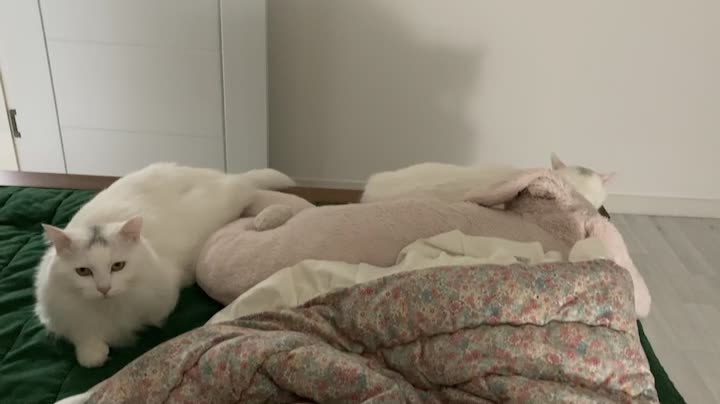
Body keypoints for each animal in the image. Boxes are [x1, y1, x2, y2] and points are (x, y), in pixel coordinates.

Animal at [35, 163, 294, 368]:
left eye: (118, 266)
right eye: (83, 271)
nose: (104, 289)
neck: (109, 307)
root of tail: (216, 174)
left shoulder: (160, 300)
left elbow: (147, 318)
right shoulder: (64, 316)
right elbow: (86, 341)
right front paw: (94, 354)